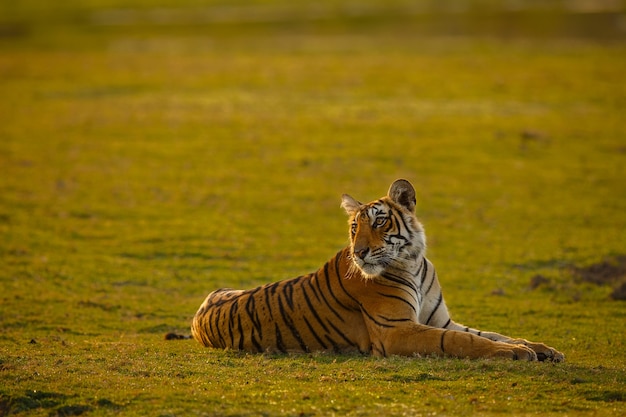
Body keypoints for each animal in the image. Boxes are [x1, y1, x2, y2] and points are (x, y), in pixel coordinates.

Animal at [190, 179, 560, 360]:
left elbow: (488, 333)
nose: (359, 252)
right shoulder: (396, 330)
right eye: (354, 227)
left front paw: (542, 348)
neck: (413, 262)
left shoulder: (439, 320)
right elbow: (462, 341)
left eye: (379, 222)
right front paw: (517, 354)